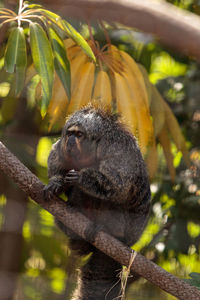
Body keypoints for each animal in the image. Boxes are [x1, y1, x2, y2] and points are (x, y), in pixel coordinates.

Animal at [43, 107, 150, 300]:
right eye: (70, 133)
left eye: (79, 134)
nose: (71, 140)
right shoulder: (62, 149)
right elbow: (56, 157)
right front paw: (56, 182)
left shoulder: (116, 148)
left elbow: (120, 185)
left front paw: (81, 178)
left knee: (115, 201)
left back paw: (108, 230)